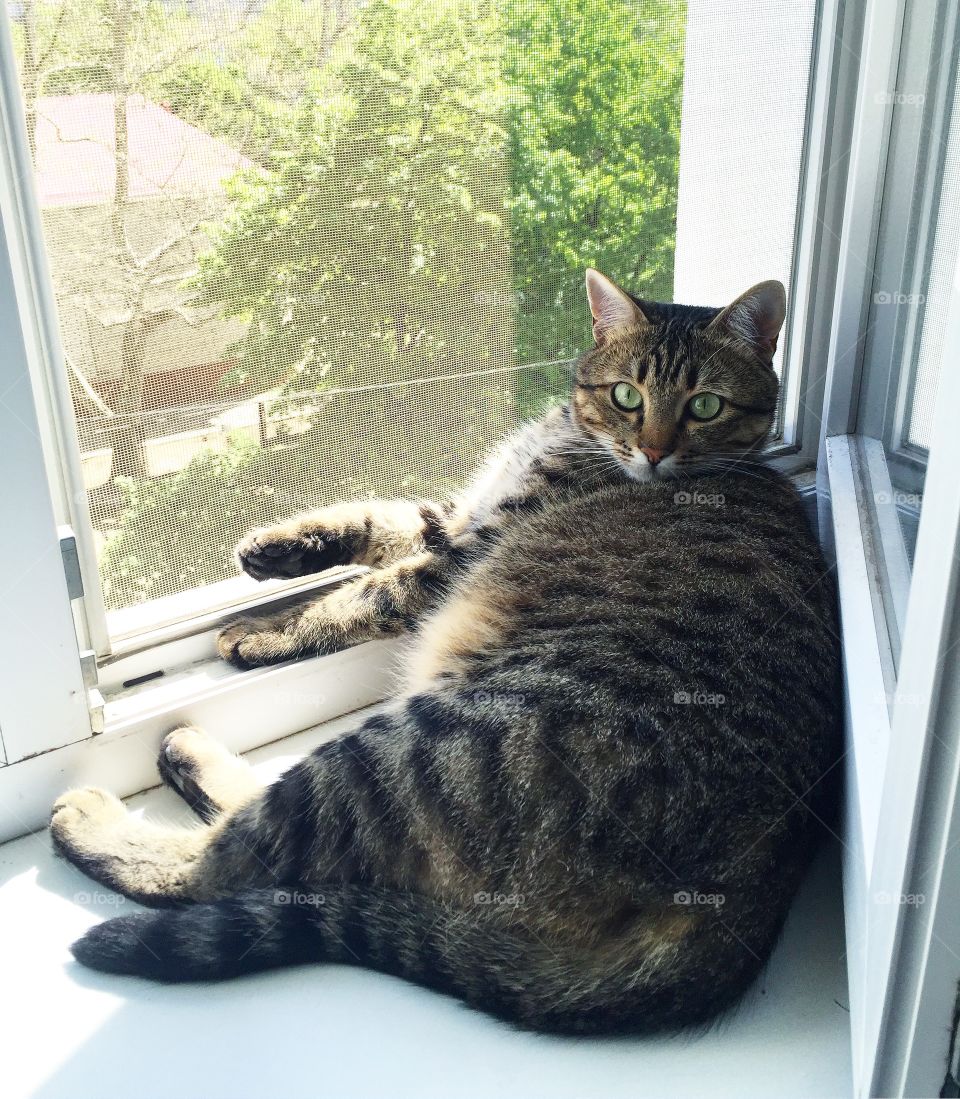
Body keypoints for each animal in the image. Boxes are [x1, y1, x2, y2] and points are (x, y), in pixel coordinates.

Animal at [50, 270, 839, 1033]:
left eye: (704, 405)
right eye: (627, 395)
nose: (653, 450)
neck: (576, 437)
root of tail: (737, 906)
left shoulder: (459, 554)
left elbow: (366, 593)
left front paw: (263, 629)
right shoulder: (454, 519)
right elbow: (378, 516)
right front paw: (279, 546)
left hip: (420, 746)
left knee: (235, 862)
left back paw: (100, 816)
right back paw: (186, 753)